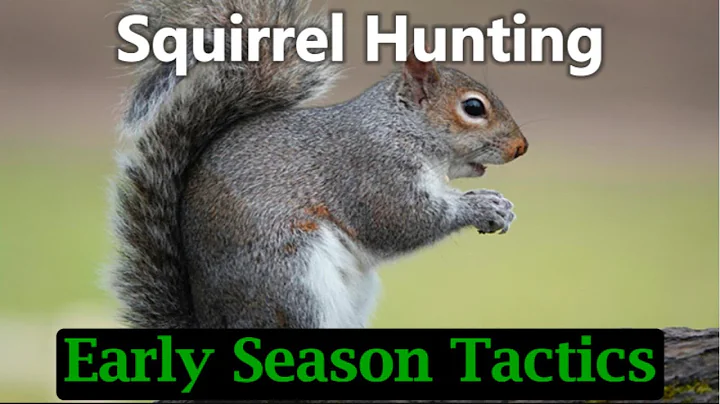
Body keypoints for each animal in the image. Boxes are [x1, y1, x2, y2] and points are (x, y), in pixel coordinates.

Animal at [108, 0, 528, 330]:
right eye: (473, 107)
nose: (521, 147)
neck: (398, 127)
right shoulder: (372, 171)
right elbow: (402, 220)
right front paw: (482, 207)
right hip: (291, 282)